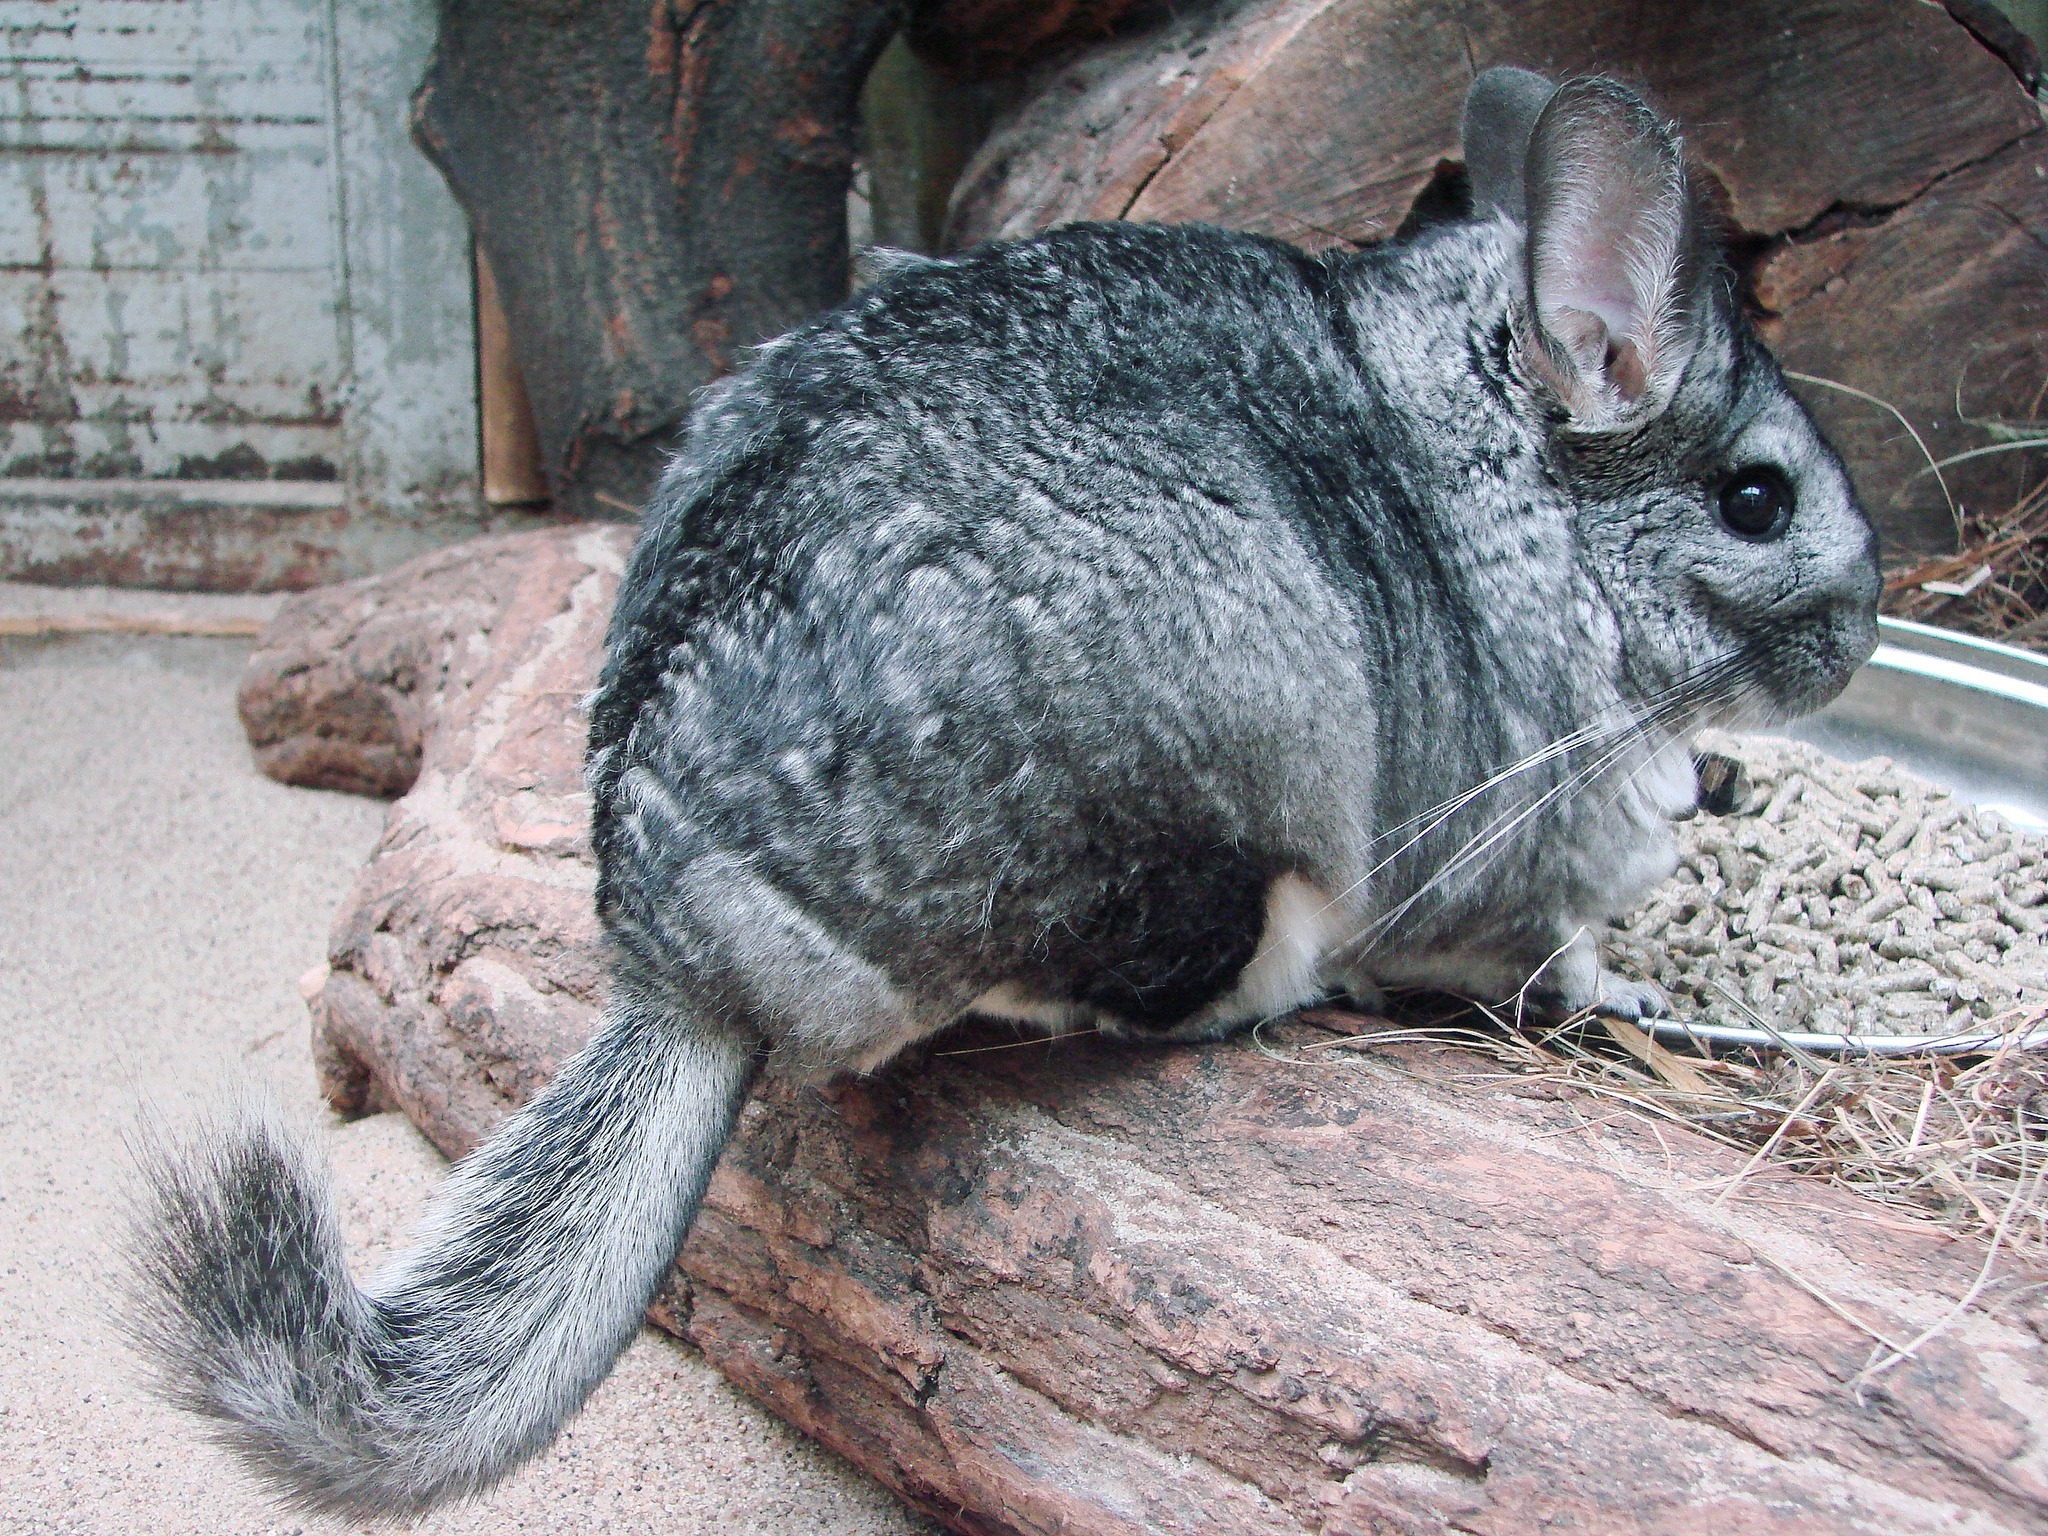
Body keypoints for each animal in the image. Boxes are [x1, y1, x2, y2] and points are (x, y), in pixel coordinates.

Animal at [131, 69, 1879, 1516]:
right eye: (1757, 496)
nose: (1864, 636)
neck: (1510, 489)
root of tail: (682, 964)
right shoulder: (1514, 838)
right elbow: (1555, 947)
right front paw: (1623, 986)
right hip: (1231, 750)